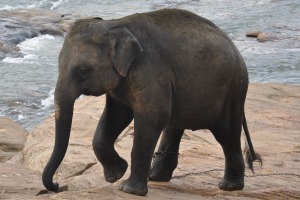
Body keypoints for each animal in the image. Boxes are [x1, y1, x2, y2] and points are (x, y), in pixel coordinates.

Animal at [42, 8, 262, 196]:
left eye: (82, 71)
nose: (57, 185)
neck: (116, 24)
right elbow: (116, 116)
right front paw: (116, 175)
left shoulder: (150, 69)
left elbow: (152, 118)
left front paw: (128, 189)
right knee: (175, 125)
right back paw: (157, 177)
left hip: (232, 90)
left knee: (227, 134)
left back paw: (229, 186)